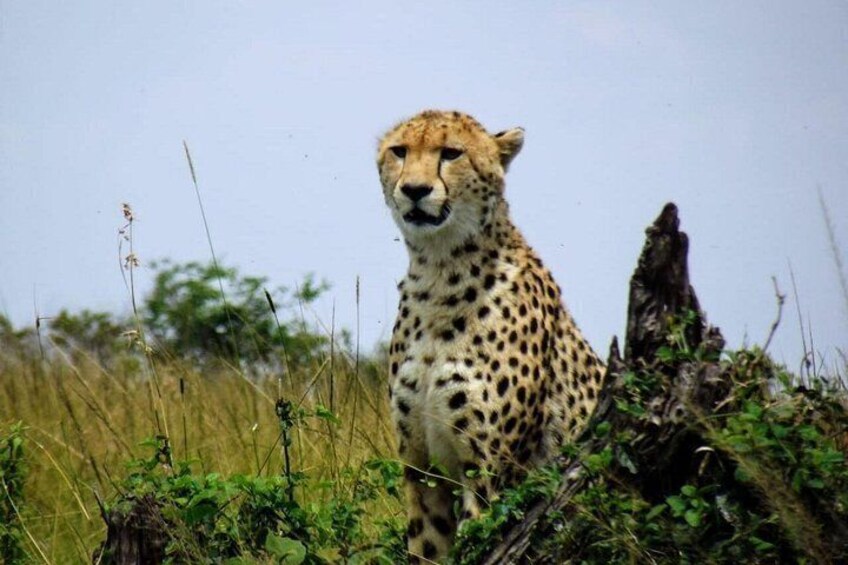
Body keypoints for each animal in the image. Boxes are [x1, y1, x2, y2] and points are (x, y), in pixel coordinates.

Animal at [377, 110, 605, 563]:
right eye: (399, 151)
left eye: (451, 153)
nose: (414, 190)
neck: (439, 272)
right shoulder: (422, 472)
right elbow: (427, 547)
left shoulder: (490, 475)